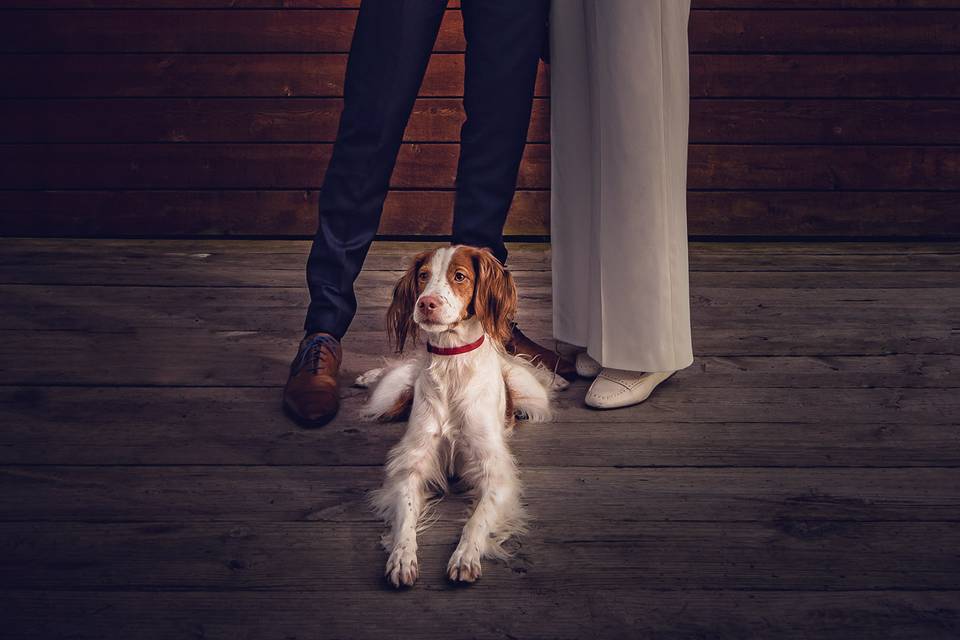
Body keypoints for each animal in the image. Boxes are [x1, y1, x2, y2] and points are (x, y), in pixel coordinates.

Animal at [358, 248, 556, 588]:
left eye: (459, 276)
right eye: (423, 275)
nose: (425, 303)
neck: (452, 362)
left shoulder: (495, 471)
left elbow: (478, 518)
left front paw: (465, 556)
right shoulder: (412, 462)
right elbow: (406, 515)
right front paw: (402, 557)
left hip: (533, 398)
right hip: (388, 396)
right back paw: (369, 376)